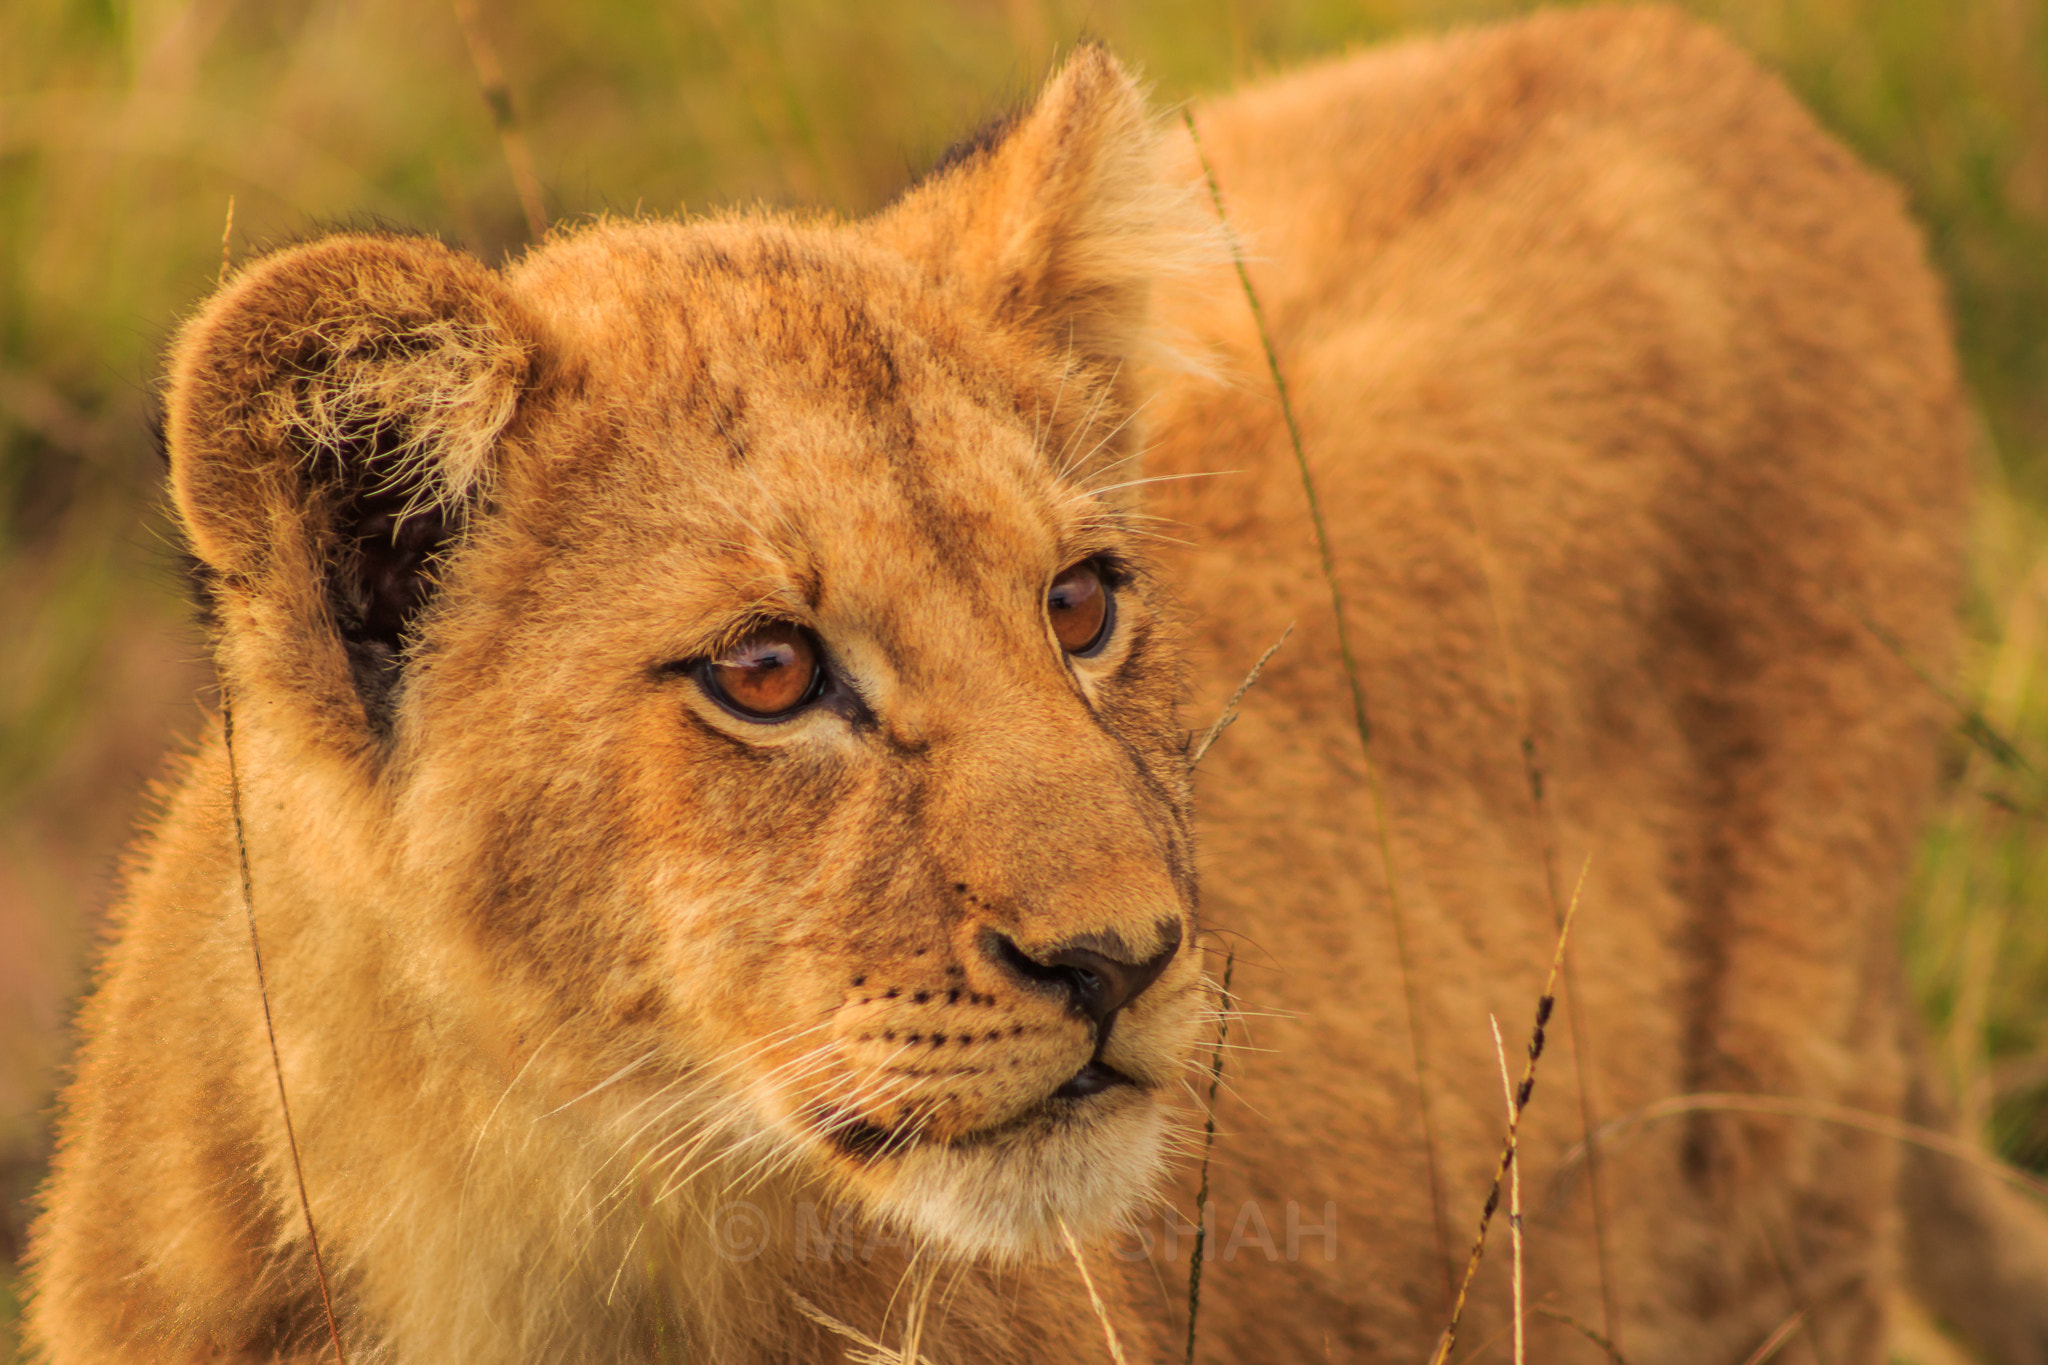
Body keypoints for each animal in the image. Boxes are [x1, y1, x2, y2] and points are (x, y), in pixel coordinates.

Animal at [24, 5, 2048, 1362]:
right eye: (767, 671)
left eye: (1079, 605)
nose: (1119, 961)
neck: (533, 1201)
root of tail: (1679, 49)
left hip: (1778, 1184)